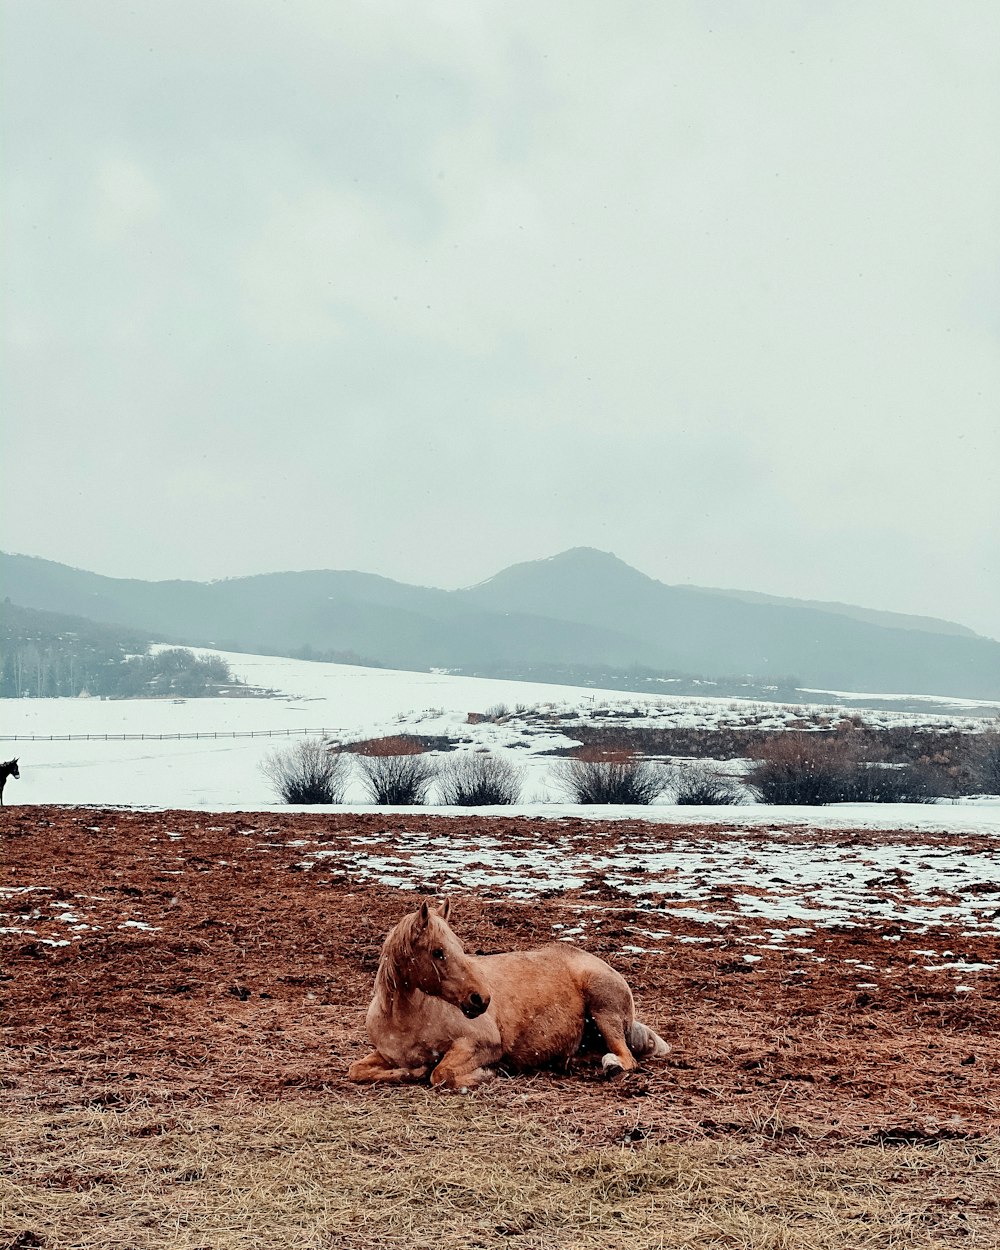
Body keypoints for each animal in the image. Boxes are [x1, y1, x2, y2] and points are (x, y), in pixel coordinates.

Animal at [347, 900, 670, 1095]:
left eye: (459, 946)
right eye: (438, 952)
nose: (480, 999)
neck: (406, 1021)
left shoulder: (482, 1044)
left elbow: (441, 1074)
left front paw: (488, 1073)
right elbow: (356, 1070)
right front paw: (408, 1071)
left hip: (604, 1011)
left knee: (627, 1058)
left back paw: (612, 1066)